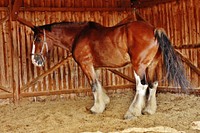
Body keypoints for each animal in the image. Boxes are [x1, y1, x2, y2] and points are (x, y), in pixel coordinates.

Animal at [30, 20, 190, 118]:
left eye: (38, 39)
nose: (35, 60)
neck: (79, 35)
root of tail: (154, 30)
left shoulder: (86, 64)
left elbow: (94, 85)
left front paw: (96, 108)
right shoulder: (96, 66)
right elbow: (99, 83)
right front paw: (104, 101)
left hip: (139, 66)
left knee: (142, 86)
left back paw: (132, 112)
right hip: (151, 65)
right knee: (153, 84)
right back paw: (149, 110)